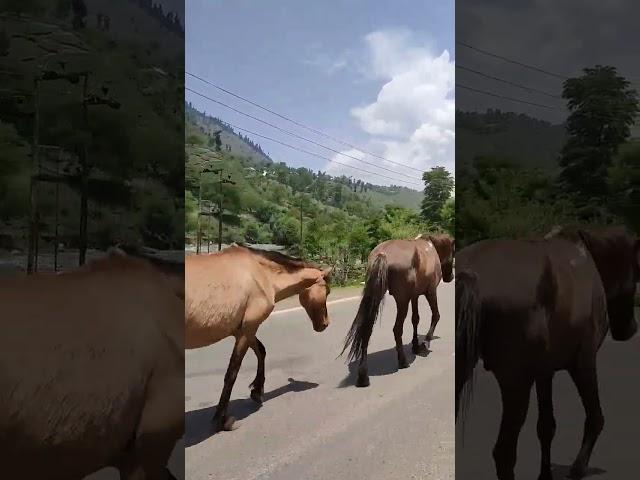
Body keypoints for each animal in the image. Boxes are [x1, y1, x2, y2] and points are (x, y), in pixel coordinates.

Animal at [185, 246, 332, 434]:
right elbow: (232, 373)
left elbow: (261, 351)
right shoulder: (248, 329)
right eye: (326, 291)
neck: (262, 274)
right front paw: (222, 420)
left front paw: (257, 391)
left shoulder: (243, 330)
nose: (325, 324)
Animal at [342, 234, 452, 388]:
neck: (431, 247)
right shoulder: (430, 292)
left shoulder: (414, 296)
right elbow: (436, 315)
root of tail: (382, 253)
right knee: (397, 329)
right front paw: (425, 343)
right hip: (402, 301)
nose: (450, 277)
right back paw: (403, 361)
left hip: (378, 295)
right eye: (452, 250)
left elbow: (415, 319)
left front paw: (415, 345)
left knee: (367, 331)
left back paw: (363, 376)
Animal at [458, 227, 636, 480]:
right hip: (516, 383)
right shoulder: (584, 361)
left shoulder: (544, 372)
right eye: (636, 267)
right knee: (504, 453)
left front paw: (546, 475)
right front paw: (578, 468)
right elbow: (595, 418)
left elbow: (546, 426)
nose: (629, 329)